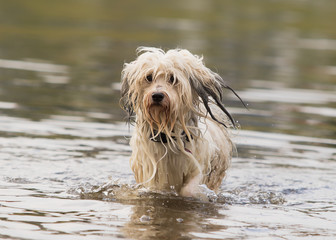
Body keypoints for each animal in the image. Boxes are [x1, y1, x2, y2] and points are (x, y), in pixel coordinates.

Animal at [121, 47, 244, 199]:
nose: (157, 95)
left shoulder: (197, 165)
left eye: (172, 78)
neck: (168, 134)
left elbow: (189, 189)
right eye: (149, 77)